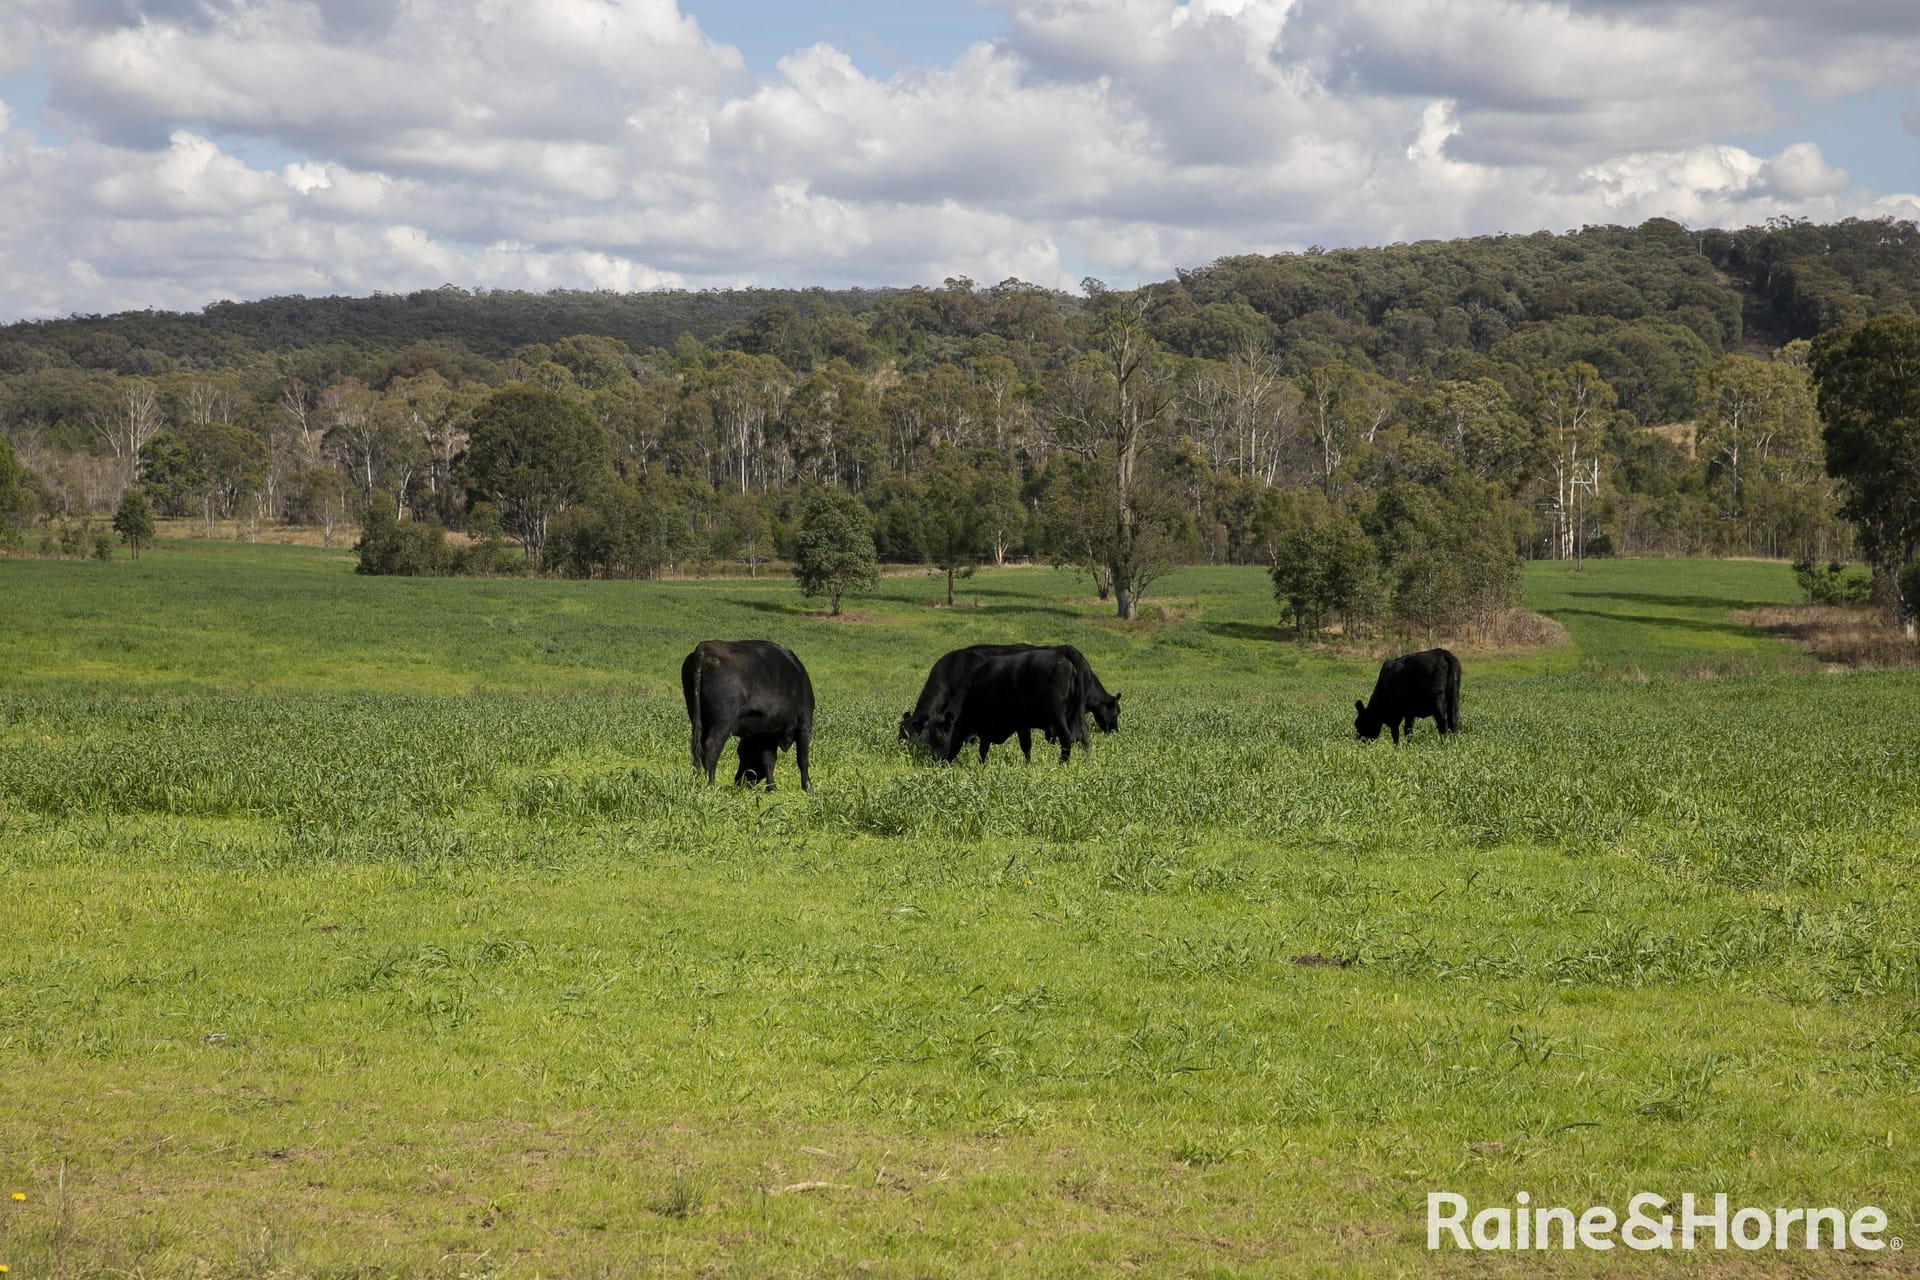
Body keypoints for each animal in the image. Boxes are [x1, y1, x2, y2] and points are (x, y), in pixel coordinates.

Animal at [679, 640, 814, 790]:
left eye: (742, 752)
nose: (738, 780)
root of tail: (705, 647)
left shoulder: (765, 733)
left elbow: (769, 760)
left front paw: (771, 788)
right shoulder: (805, 723)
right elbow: (802, 759)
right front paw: (808, 787)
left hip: (698, 718)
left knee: (698, 749)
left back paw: (698, 781)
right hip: (722, 722)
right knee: (711, 748)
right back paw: (711, 785)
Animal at [933, 652, 1090, 759]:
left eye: (939, 741)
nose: (937, 762)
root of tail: (1066, 661)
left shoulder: (1011, 725)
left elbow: (1022, 747)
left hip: (1058, 717)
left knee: (1067, 737)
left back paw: (1063, 762)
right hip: (1076, 716)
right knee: (1083, 738)